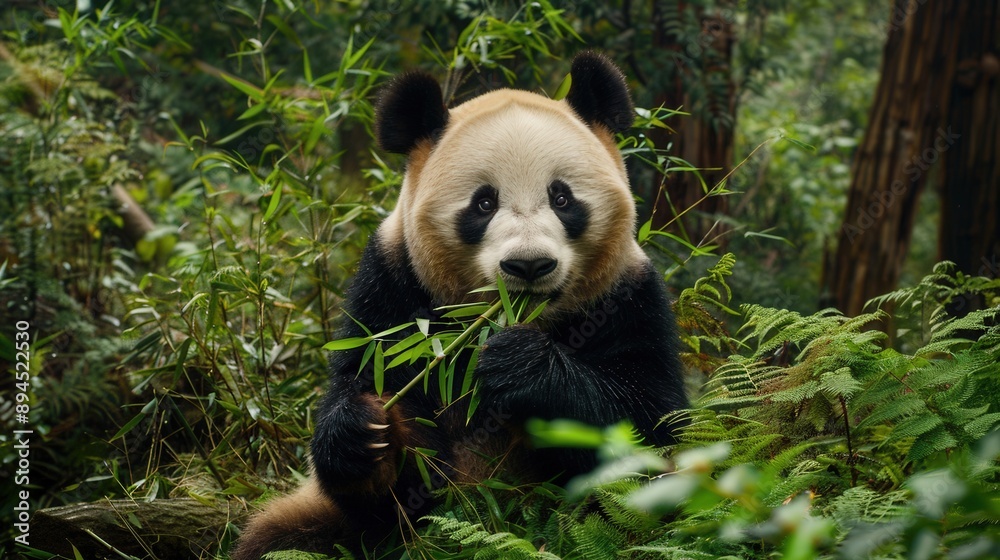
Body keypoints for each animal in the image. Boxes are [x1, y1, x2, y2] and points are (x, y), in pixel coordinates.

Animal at [231, 51, 688, 559]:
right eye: (483, 203)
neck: (522, 319)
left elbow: (650, 424)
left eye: (562, 197)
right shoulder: (393, 287)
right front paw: (363, 431)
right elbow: (389, 446)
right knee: (280, 539)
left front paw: (522, 366)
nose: (529, 265)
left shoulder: (629, 296)